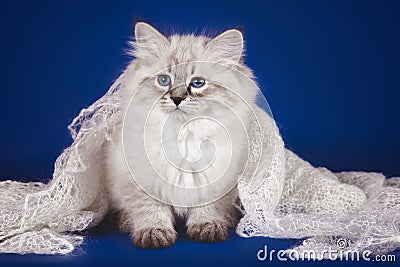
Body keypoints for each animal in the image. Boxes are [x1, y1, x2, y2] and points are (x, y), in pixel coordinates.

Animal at [103, 22, 258, 249]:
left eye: (198, 83)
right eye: (164, 80)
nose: (177, 98)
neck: (183, 137)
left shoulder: (219, 178)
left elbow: (208, 207)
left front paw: (207, 225)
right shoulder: (138, 177)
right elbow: (150, 209)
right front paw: (154, 232)